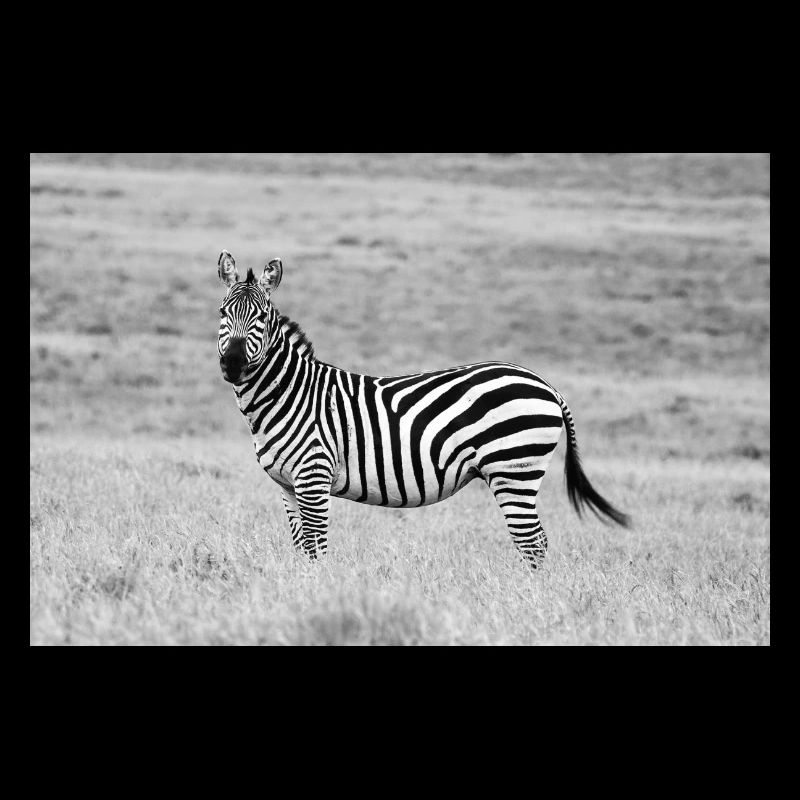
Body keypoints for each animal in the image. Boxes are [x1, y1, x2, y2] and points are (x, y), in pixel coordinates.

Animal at [217, 250, 629, 568]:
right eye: (222, 313)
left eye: (262, 318)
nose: (232, 364)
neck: (289, 394)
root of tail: (545, 384)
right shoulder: (287, 486)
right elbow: (301, 546)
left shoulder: (314, 476)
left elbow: (317, 546)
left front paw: (318, 590)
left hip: (514, 469)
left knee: (533, 542)